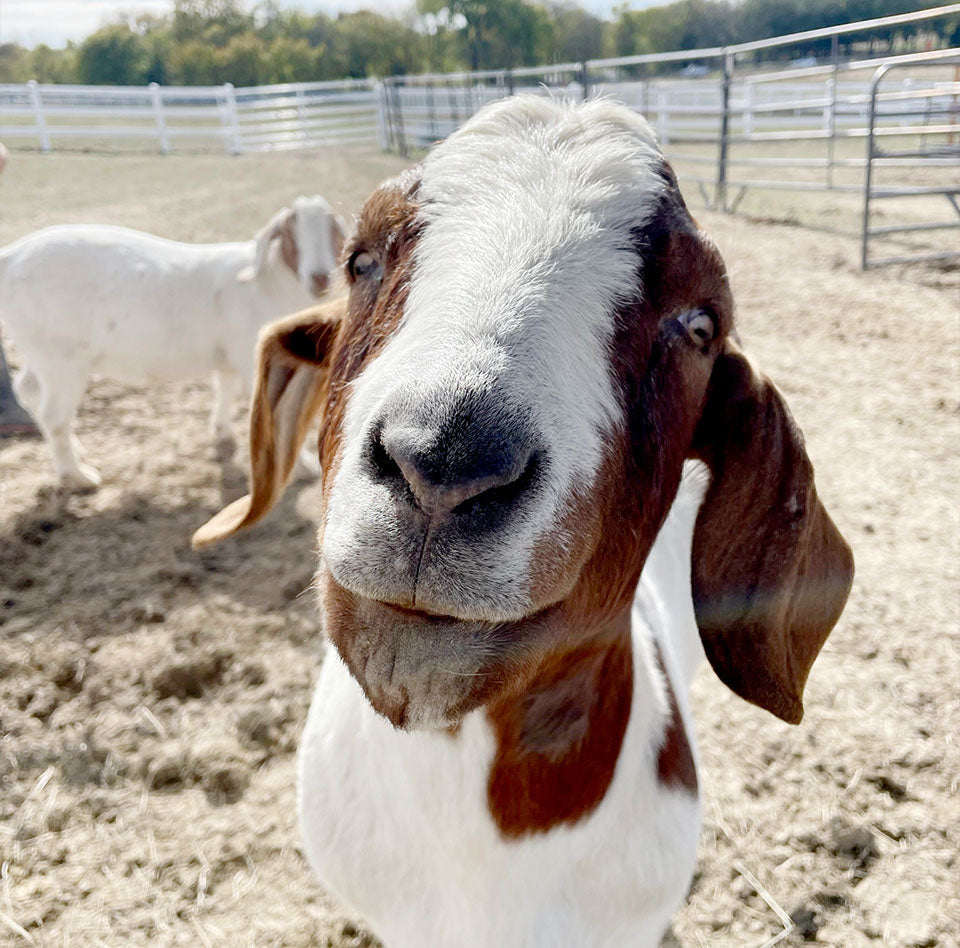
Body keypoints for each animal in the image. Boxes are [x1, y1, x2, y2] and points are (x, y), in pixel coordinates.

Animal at [0, 196, 344, 488]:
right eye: (289, 232)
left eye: (331, 229)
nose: (320, 277)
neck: (269, 285)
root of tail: (10, 257)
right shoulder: (253, 356)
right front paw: (302, 467)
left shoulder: (231, 354)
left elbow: (225, 387)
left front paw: (222, 433)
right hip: (61, 357)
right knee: (53, 413)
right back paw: (77, 476)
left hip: (39, 350)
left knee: (28, 390)